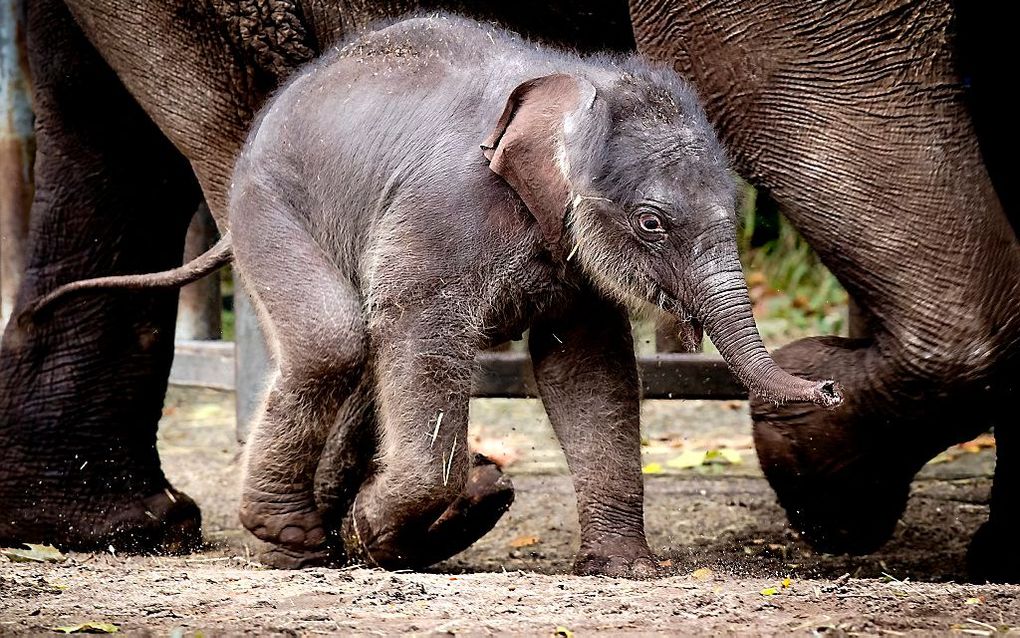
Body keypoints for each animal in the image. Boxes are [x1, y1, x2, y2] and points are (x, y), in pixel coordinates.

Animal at [0, 0, 1015, 575]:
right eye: (653, 224)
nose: (828, 377)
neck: (572, 87)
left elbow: (589, 370)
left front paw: (629, 573)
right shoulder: (444, 211)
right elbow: (423, 334)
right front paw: (384, 526)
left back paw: (362, 534)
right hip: (267, 203)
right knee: (339, 337)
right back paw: (304, 540)